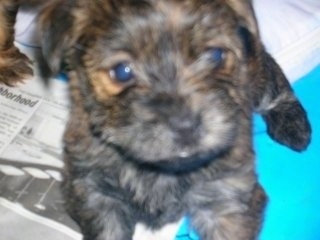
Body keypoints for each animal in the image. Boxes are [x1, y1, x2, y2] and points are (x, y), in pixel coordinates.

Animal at [32, 0, 310, 240]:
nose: (186, 127)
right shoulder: (94, 193)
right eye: (122, 71)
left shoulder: (228, 199)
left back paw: (294, 125)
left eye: (216, 55)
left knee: (273, 77)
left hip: (255, 69)